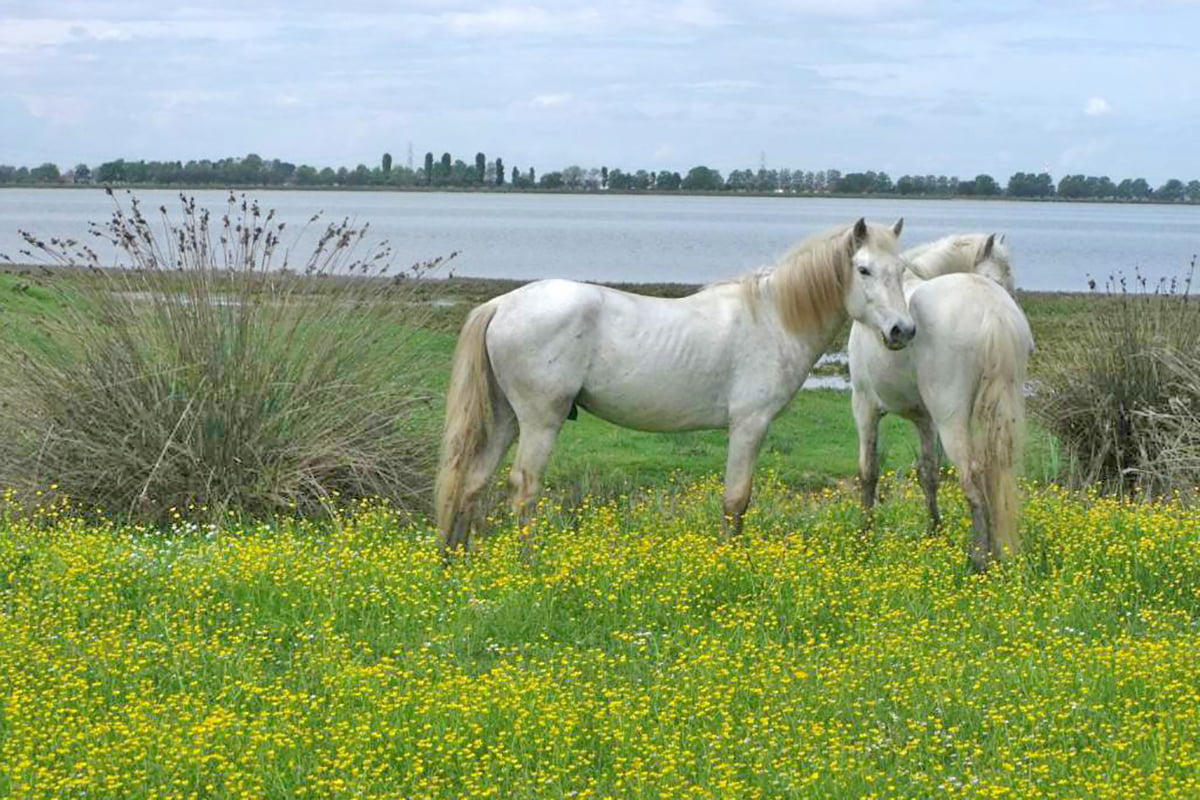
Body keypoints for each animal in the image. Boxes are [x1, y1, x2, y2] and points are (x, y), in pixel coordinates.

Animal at [436, 219, 912, 556]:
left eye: (901, 270)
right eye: (864, 269)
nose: (902, 330)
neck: (773, 318)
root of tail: (502, 304)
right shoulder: (750, 425)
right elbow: (736, 500)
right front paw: (731, 565)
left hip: (506, 419)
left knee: (472, 482)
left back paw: (456, 564)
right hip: (539, 421)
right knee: (524, 487)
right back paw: (530, 566)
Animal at [849, 235, 1036, 573]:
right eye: (1002, 279)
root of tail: (991, 310)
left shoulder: (865, 406)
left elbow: (868, 472)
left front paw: (864, 538)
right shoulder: (925, 421)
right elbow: (928, 473)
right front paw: (934, 532)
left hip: (952, 421)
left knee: (972, 477)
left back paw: (979, 559)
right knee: (994, 473)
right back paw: (996, 552)